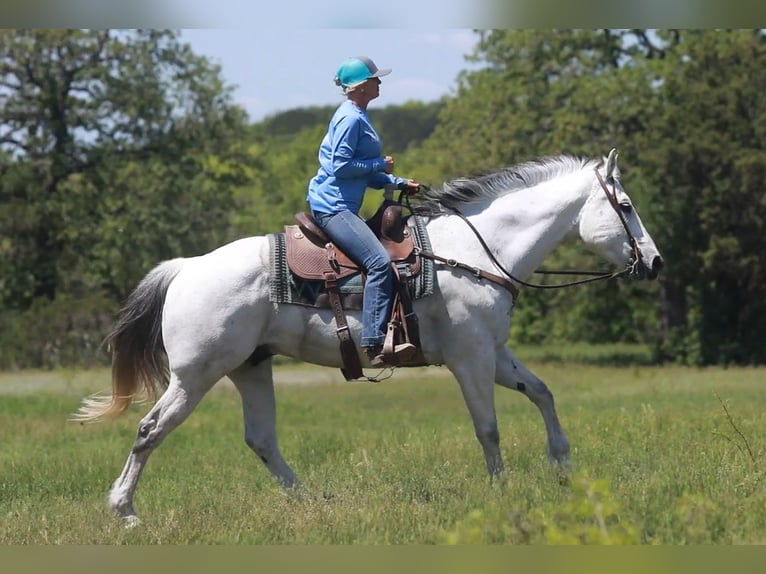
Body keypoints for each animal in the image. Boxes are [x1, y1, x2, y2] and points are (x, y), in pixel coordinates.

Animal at [76, 150, 664, 528]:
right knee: (150, 430)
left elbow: (542, 392)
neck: (477, 253)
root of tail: (186, 267)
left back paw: (314, 502)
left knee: (261, 439)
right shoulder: (471, 359)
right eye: (627, 206)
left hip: (251, 367)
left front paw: (562, 464)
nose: (655, 262)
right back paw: (124, 511)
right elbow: (489, 429)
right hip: (196, 376)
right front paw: (502, 494)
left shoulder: (495, 354)